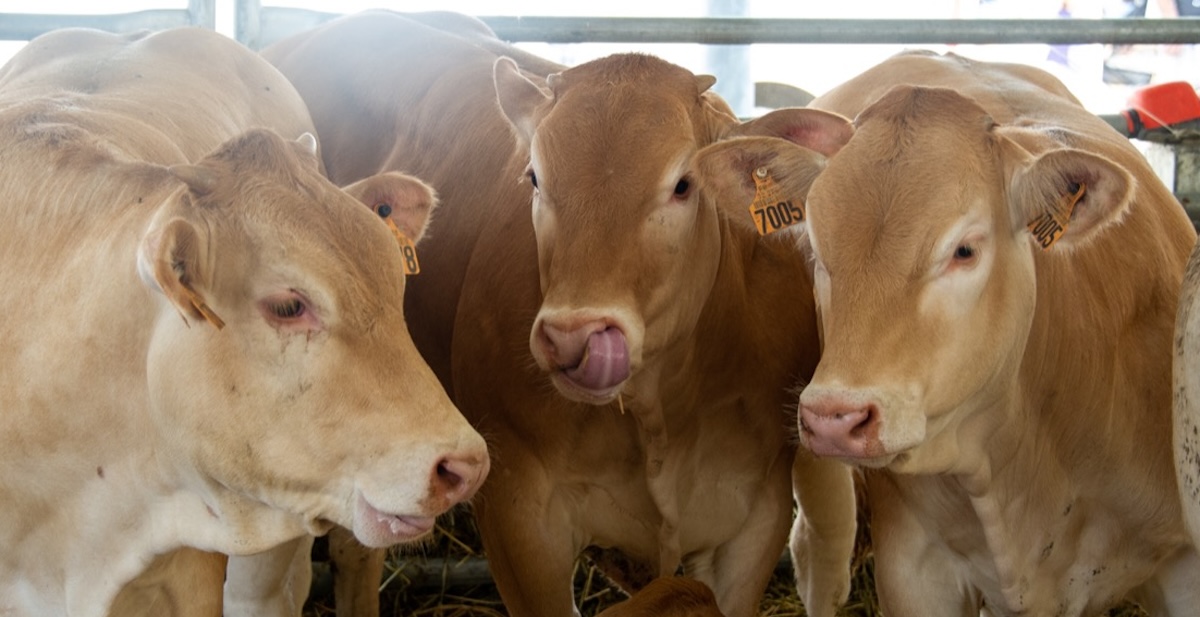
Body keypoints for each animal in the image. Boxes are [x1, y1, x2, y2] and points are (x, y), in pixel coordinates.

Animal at [261, 9, 859, 614]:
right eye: (534, 176)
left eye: (684, 184)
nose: (575, 336)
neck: (659, 416)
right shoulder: (520, 516)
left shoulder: (755, 520)